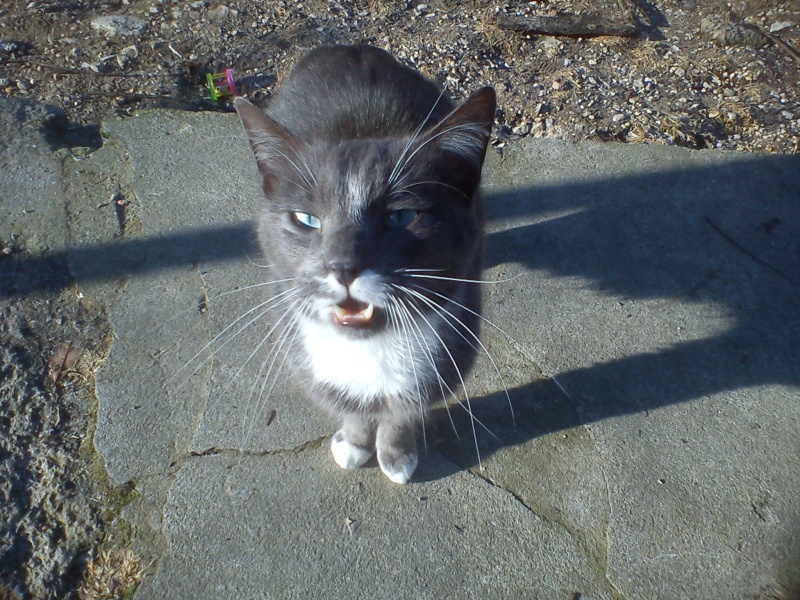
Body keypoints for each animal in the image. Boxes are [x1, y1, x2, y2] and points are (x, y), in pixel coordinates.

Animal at [233, 43, 494, 482]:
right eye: (307, 219)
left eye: (401, 217)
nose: (342, 265)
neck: (370, 350)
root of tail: (347, 47)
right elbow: (349, 406)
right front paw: (354, 443)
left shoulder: (447, 352)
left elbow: (404, 409)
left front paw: (396, 455)